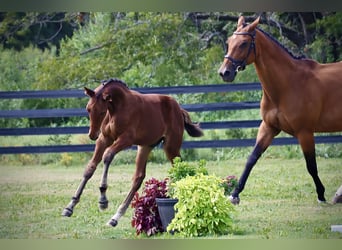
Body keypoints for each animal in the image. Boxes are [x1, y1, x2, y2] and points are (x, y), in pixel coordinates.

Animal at [60, 78, 203, 227]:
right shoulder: (104, 139)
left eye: (101, 112)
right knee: (138, 177)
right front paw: (70, 206)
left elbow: (107, 156)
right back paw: (115, 217)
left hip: (171, 146)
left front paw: (103, 200)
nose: (92, 135)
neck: (117, 108)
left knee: (179, 169)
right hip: (145, 146)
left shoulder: (126, 139)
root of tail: (179, 109)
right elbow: (90, 168)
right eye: (88, 109)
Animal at [219, 15, 342, 204]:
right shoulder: (268, 128)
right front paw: (234, 194)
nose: (224, 72)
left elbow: (311, 165)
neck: (287, 84)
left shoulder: (305, 132)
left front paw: (321, 195)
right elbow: (251, 159)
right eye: (229, 42)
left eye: (244, 44)